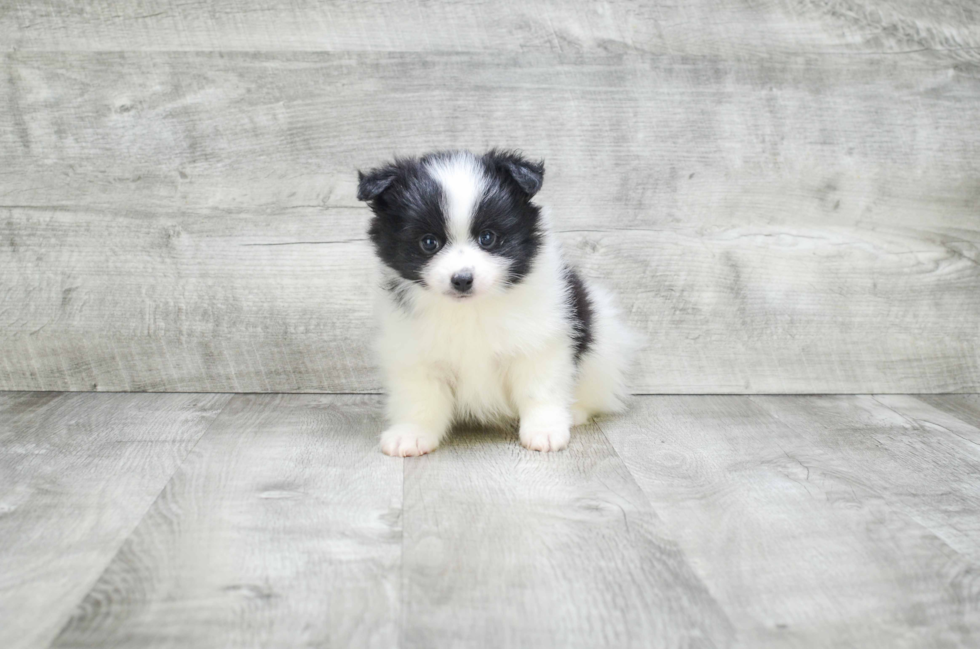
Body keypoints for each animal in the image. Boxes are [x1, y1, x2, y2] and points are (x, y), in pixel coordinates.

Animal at [358, 151, 636, 456]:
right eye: (428, 243)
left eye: (488, 238)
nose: (462, 279)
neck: (470, 309)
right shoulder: (416, 353)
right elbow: (420, 397)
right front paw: (411, 434)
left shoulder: (538, 344)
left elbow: (539, 390)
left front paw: (545, 430)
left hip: (602, 350)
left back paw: (574, 412)